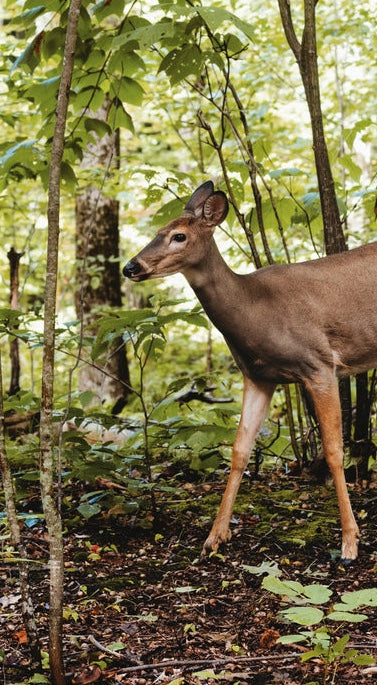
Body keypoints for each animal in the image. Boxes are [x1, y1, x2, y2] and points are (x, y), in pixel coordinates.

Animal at [124, 180, 376, 560]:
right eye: (158, 231)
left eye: (179, 236)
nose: (131, 267)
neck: (255, 310)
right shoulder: (258, 377)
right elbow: (239, 450)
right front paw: (214, 537)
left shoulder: (319, 364)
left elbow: (333, 451)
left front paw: (349, 541)